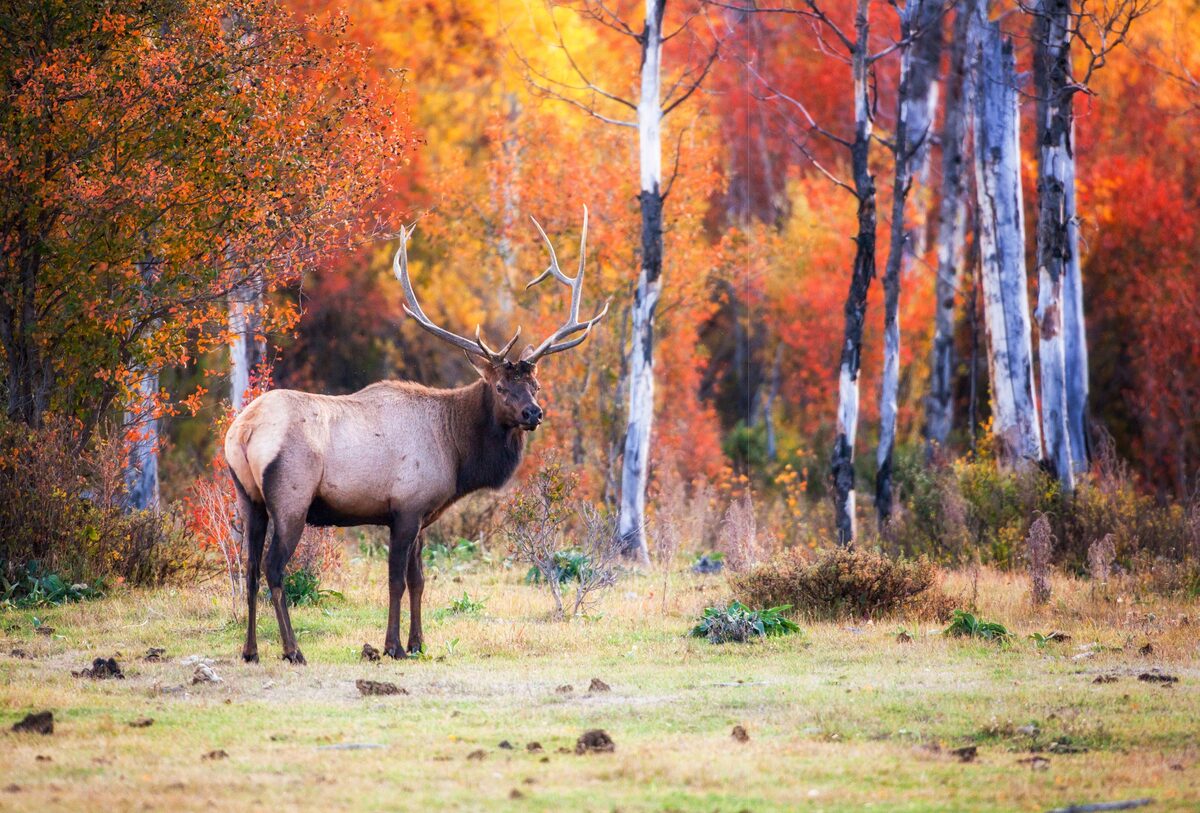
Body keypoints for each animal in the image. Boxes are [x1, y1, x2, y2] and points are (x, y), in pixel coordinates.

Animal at [224, 209, 606, 664]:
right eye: (500, 387)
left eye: (536, 384)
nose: (534, 413)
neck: (456, 453)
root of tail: (243, 431)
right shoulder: (405, 507)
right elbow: (396, 581)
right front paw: (392, 646)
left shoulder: (423, 513)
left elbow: (419, 579)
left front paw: (419, 643)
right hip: (291, 496)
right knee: (274, 568)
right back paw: (292, 650)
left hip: (249, 498)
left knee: (248, 568)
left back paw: (250, 650)